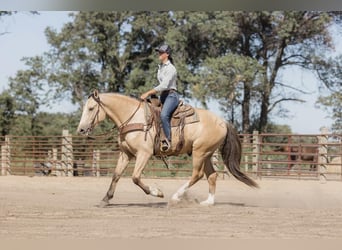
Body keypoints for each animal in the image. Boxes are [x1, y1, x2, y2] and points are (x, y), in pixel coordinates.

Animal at [77, 90, 258, 207]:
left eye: (91, 108)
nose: (81, 129)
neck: (134, 117)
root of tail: (222, 121)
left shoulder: (144, 154)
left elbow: (135, 178)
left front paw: (157, 193)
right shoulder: (125, 154)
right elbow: (116, 176)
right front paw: (106, 199)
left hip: (200, 152)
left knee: (197, 175)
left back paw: (176, 197)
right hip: (206, 153)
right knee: (212, 176)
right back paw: (208, 202)